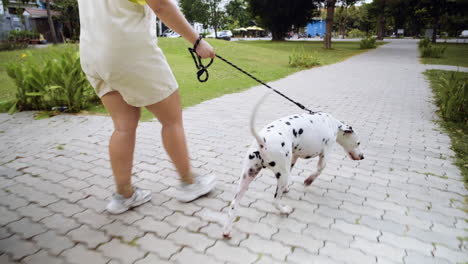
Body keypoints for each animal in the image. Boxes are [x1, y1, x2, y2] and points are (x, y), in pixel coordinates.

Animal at [223, 95, 366, 239]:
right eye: (358, 142)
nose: (362, 157)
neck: (331, 123)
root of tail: (262, 141)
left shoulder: (294, 157)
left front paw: (288, 188)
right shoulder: (324, 155)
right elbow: (319, 170)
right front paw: (308, 181)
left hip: (248, 175)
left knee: (234, 204)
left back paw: (226, 230)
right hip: (283, 175)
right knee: (275, 201)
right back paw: (285, 210)